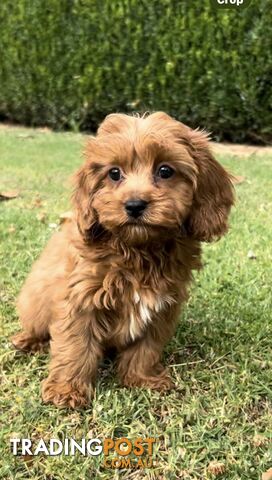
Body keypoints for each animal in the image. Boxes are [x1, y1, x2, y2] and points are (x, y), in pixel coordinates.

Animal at [11, 113, 234, 408]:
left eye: (165, 171)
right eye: (114, 173)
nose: (135, 205)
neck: (138, 250)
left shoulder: (163, 306)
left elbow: (146, 347)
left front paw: (141, 378)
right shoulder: (79, 298)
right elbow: (75, 346)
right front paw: (66, 390)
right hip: (34, 301)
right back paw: (28, 341)